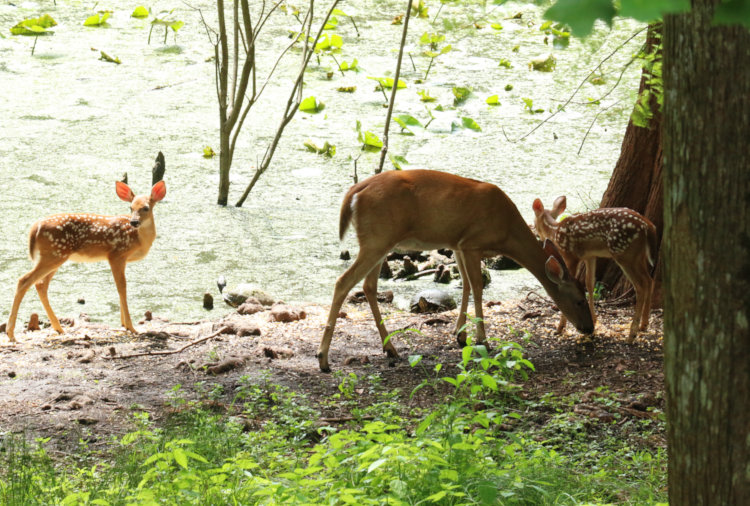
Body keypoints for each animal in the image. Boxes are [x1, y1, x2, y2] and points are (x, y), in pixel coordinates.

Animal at [5, 180, 167, 343]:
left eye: (146, 208)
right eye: (131, 207)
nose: (134, 222)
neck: (139, 239)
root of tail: (35, 227)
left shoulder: (122, 259)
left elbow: (120, 287)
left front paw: (123, 324)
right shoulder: (116, 255)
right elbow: (122, 287)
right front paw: (130, 327)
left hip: (54, 256)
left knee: (40, 285)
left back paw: (58, 328)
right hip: (54, 254)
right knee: (24, 280)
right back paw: (11, 334)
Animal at [317, 169, 594, 372]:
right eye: (579, 300)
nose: (589, 328)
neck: (506, 231)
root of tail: (354, 192)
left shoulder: (458, 244)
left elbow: (466, 286)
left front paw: (460, 335)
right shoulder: (473, 242)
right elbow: (478, 288)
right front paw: (482, 339)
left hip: (379, 241)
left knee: (368, 286)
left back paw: (390, 349)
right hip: (378, 237)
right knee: (343, 282)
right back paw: (323, 359)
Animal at [532, 196, 657, 342]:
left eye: (534, 222)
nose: (538, 236)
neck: (555, 231)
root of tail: (648, 226)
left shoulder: (570, 255)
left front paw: (560, 327)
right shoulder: (590, 256)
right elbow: (589, 284)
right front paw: (594, 319)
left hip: (624, 253)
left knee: (640, 286)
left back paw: (632, 334)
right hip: (639, 256)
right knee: (649, 280)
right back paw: (644, 325)